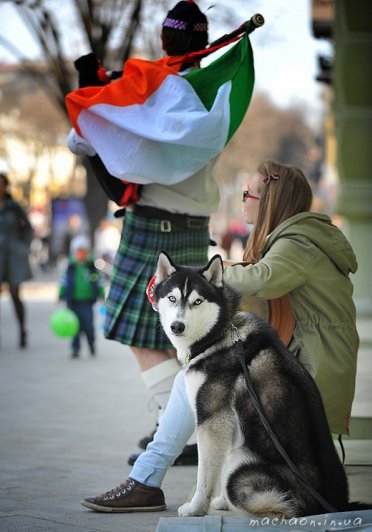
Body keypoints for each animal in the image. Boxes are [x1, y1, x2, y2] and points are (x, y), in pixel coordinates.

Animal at [151, 251, 358, 516]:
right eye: (172, 298)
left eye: (197, 301)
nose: (177, 326)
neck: (218, 334)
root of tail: (335, 505)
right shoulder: (227, 424)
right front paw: (218, 502)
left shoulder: (212, 420)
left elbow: (205, 475)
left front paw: (196, 508)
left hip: (240, 470)